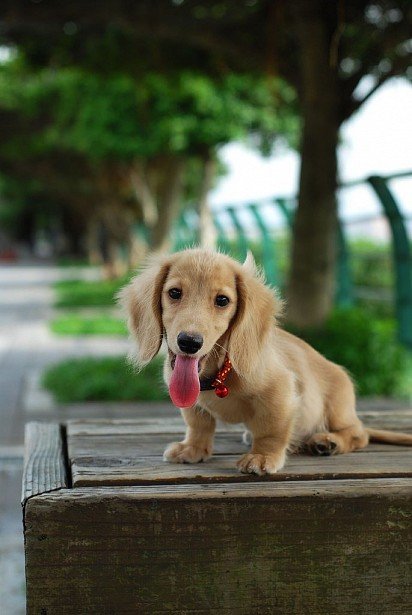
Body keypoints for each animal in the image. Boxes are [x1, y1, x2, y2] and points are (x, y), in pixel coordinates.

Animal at [118, 249, 408, 476]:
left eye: (222, 300)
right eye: (174, 293)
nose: (189, 342)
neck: (220, 373)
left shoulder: (280, 393)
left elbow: (272, 430)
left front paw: (263, 457)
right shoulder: (194, 405)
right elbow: (198, 424)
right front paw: (193, 448)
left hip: (339, 407)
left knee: (359, 433)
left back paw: (328, 441)